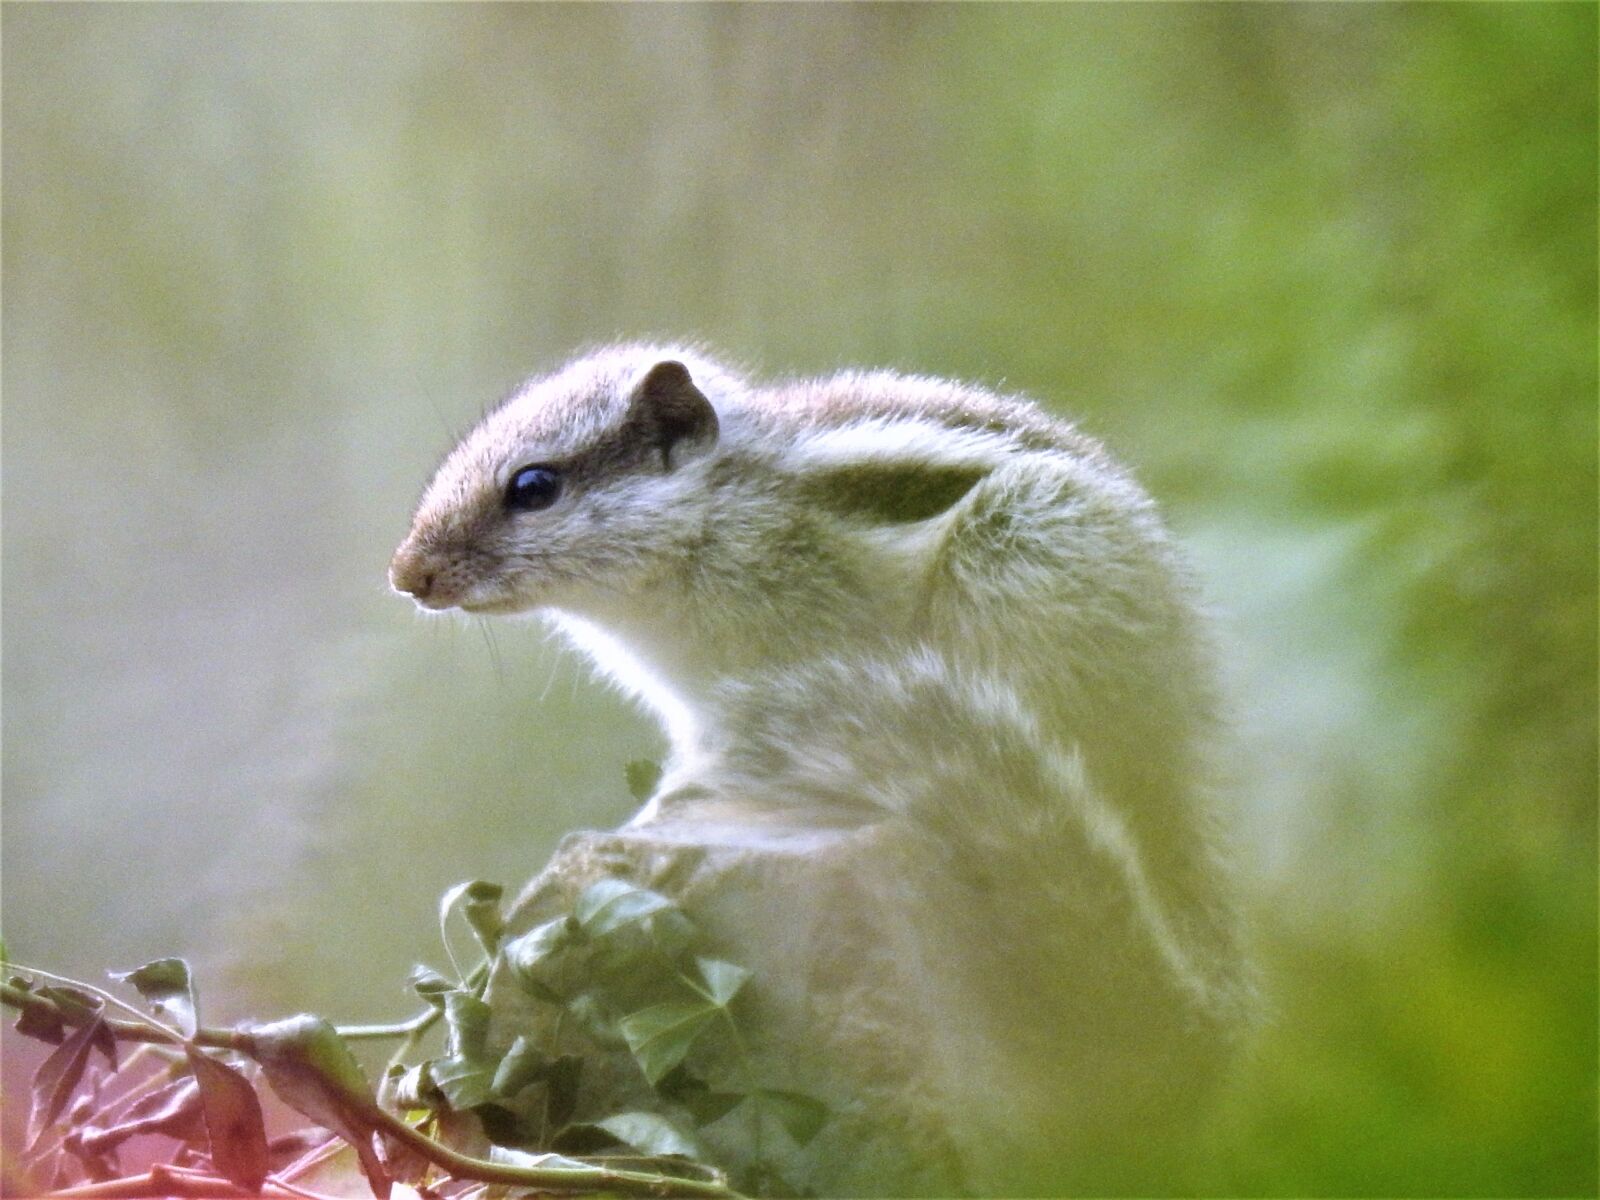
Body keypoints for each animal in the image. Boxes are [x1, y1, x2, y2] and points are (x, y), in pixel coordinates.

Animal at [391, 343, 1252, 1030]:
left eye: (534, 487)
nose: (406, 576)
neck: (705, 519)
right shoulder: (695, 709)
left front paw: (673, 808)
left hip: (1017, 564)